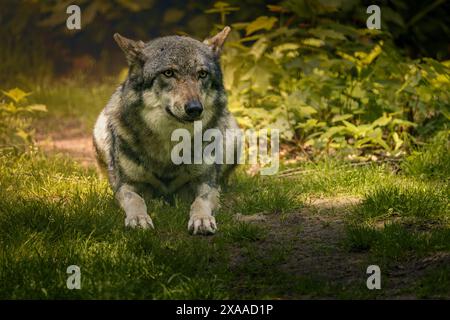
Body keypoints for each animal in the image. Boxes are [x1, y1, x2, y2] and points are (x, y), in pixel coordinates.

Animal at [92, 26, 239, 235]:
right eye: (168, 73)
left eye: (202, 74)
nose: (195, 108)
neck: (170, 144)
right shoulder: (125, 185)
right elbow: (135, 200)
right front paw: (138, 218)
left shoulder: (206, 183)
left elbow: (200, 201)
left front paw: (201, 219)